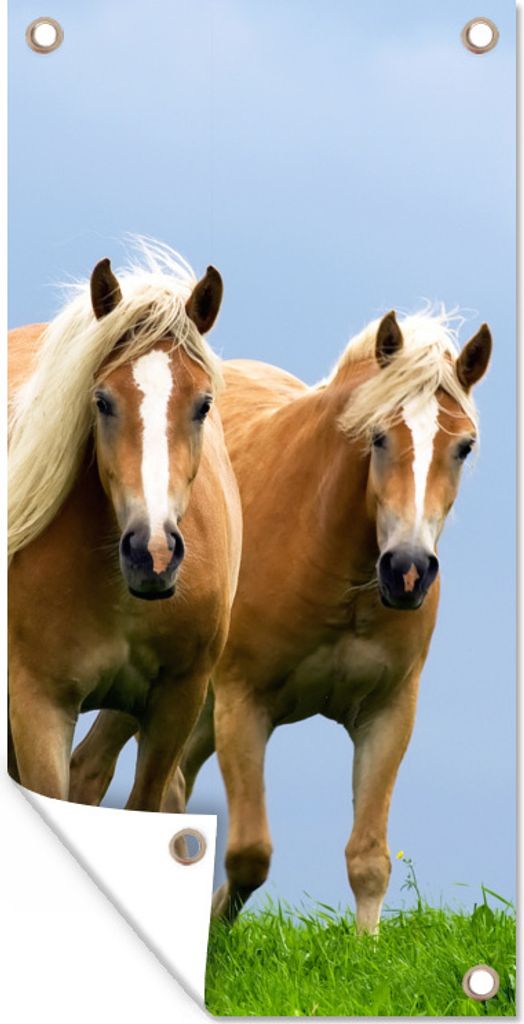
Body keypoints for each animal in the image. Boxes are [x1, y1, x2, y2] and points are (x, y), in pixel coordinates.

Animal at [68, 307, 491, 931]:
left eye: (462, 446)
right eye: (378, 436)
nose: (408, 571)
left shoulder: (389, 713)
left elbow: (369, 859)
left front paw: (364, 948)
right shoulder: (245, 706)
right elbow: (250, 854)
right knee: (99, 772)